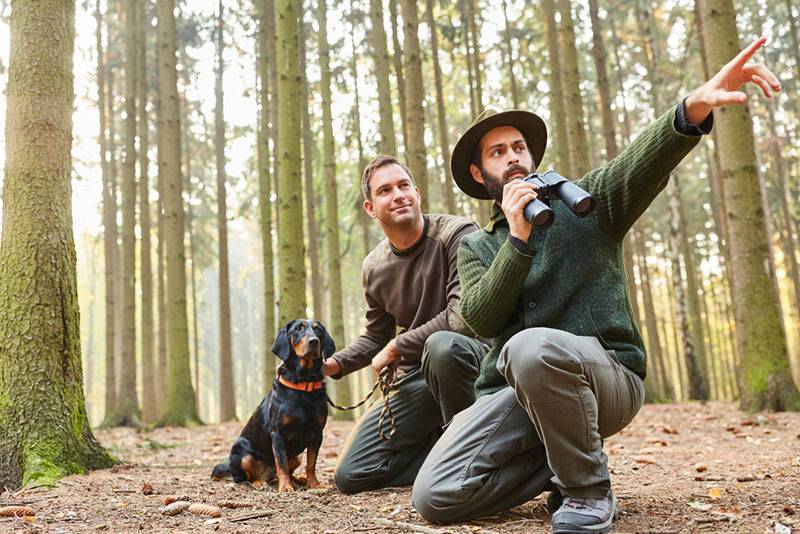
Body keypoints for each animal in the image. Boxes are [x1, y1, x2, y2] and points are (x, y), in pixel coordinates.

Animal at [212, 320, 334, 492]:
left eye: (318, 330)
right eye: (298, 328)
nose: (313, 341)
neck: (303, 385)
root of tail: (267, 475)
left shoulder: (317, 433)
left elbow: (311, 464)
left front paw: (314, 484)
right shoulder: (278, 434)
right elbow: (281, 463)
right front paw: (286, 488)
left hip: (297, 456)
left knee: (286, 471)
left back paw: (298, 479)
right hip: (242, 452)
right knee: (244, 478)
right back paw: (259, 483)